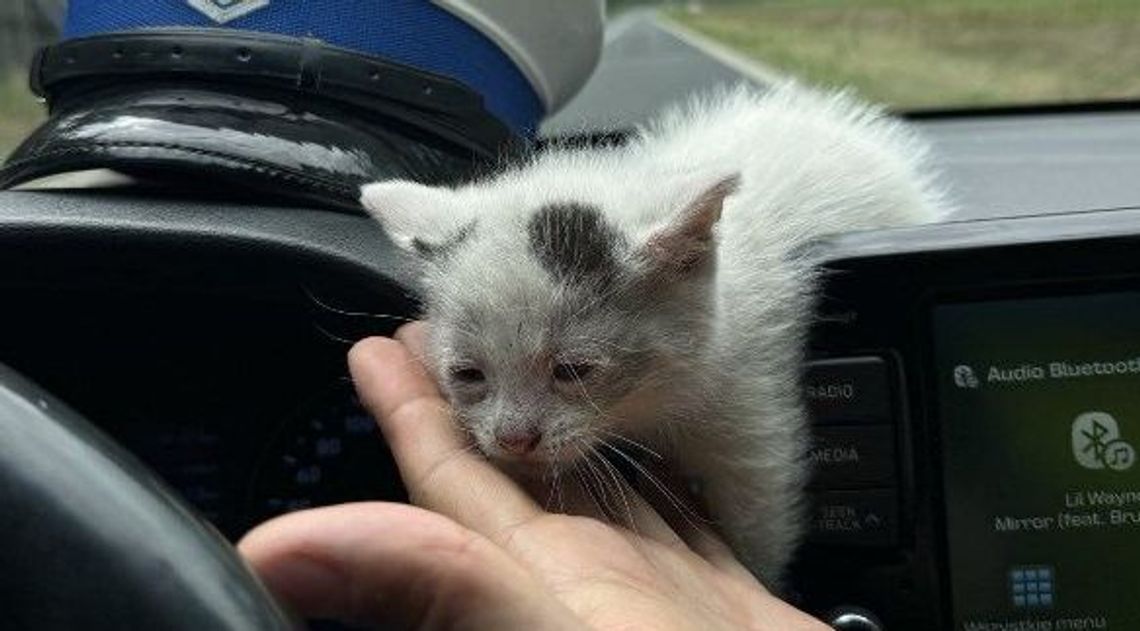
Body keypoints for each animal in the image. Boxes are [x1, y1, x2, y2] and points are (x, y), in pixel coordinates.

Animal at [360, 80, 948, 583]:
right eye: (468, 374)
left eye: (573, 370)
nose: (514, 440)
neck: (649, 405)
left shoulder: (752, 407)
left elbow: (759, 517)